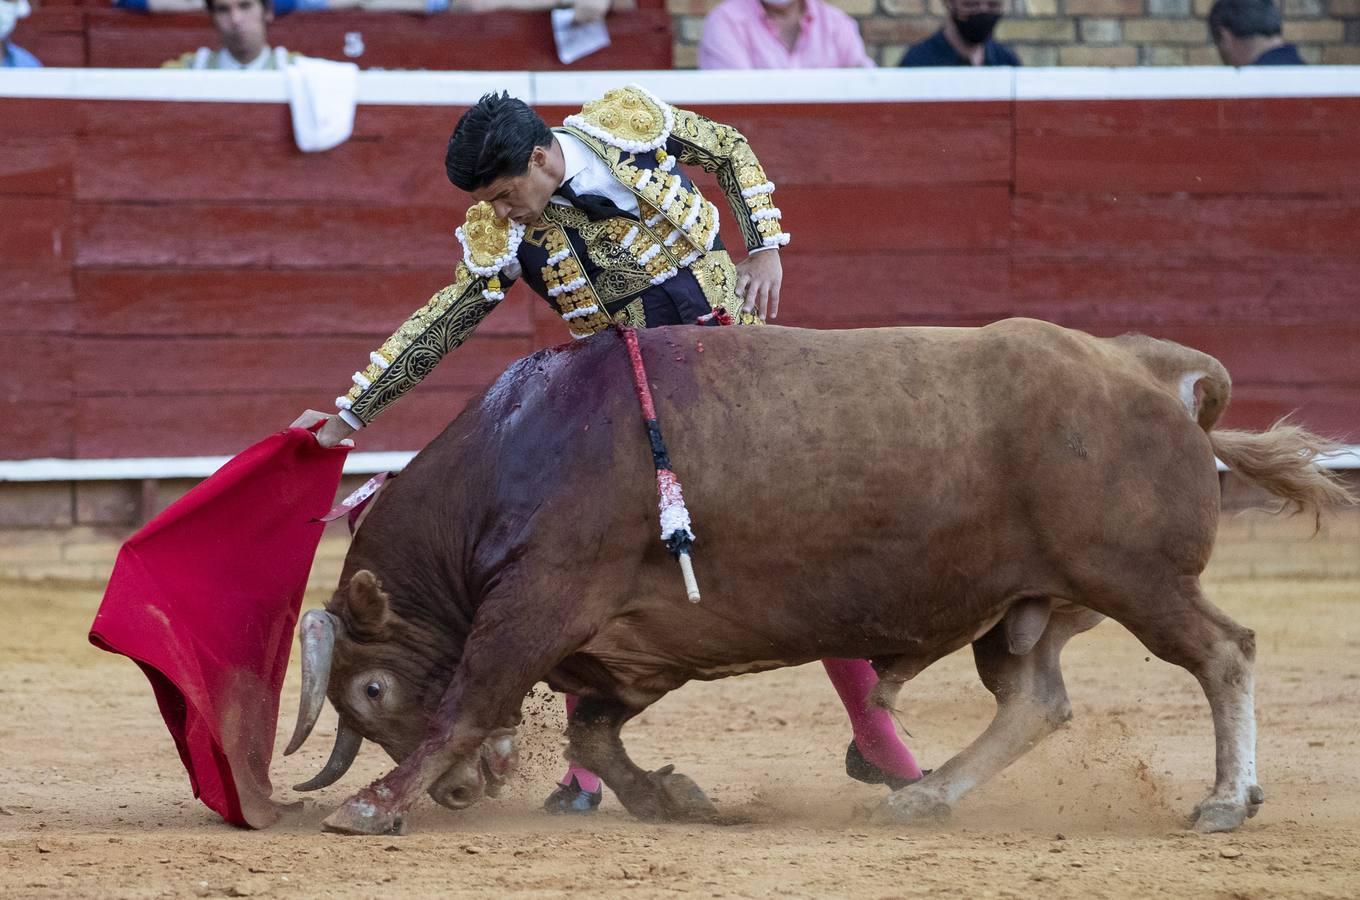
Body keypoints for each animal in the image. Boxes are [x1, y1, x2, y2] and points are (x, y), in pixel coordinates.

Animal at [281, 319, 1354, 837]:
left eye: (370, 690)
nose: (463, 796)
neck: (519, 451)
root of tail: (1154, 372)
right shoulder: (630, 647)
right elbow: (593, 728)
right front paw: (673, 798)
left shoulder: (540, 605)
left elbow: (469, 700)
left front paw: (369, 808)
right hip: (1019, 606)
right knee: (1036, 700)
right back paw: (921, 799)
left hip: (1137, 579)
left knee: (1223, 652)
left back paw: (1225, 802)